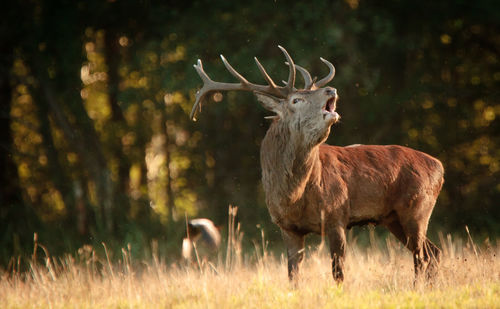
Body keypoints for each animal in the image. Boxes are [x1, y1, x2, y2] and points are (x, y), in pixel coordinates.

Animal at [189, 45, 444, 282]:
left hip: (417, 207)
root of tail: (439, 167)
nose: (331, 89)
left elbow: (338, 273)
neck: (294, 196)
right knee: (433, 253)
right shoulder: (287, 227)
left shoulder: (336, 214)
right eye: (296, 99)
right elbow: (292, 275)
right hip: (394, 218)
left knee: (422, 257)